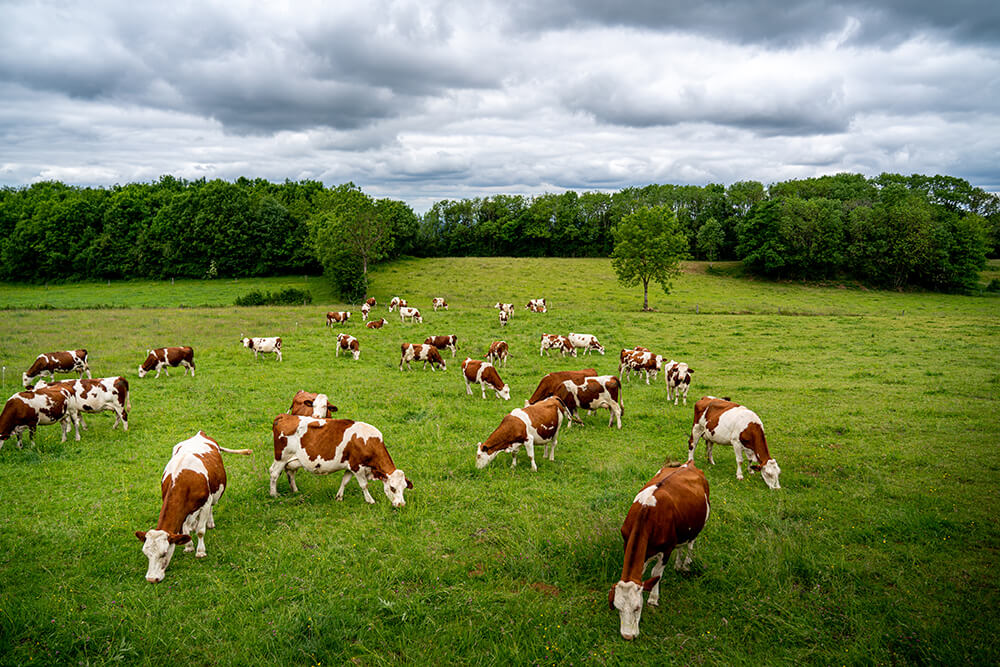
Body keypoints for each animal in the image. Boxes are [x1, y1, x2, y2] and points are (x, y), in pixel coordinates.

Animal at [135, 430, 252, 580]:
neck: (181, 480)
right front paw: (189, 546)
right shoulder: (183, 511)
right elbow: (184, 530)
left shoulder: (205, 504)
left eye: (164, 553)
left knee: (211, 509)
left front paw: (200, 551)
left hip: (213, 494)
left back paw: (209, 522)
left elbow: (201, 531)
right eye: (146, 553)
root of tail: (200, 433)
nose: (151, 579)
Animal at [268, 412, 412, 506]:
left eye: (404, 487)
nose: (401, 504)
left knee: (290, 473)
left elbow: (345, 481)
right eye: (392, 488)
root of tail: (284, 416)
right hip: (281, 457)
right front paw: (370, 500)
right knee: (274, 473)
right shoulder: (357, 466)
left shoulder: (350, 466)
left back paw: (295, 491)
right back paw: (274, 494)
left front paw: (339, 497)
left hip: (293, 460)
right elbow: (364, 485)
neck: (368, 442)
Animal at [608, 462, 712, 640]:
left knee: (690, 544)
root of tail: (688, 464)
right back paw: (678, 564)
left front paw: (653, 599)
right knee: (681, 546)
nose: (627, 636)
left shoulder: (666, 550)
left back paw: (686, 564)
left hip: (699, 524)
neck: (646, 511)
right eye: (618, 608)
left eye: (637, 608)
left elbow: (656, 573)